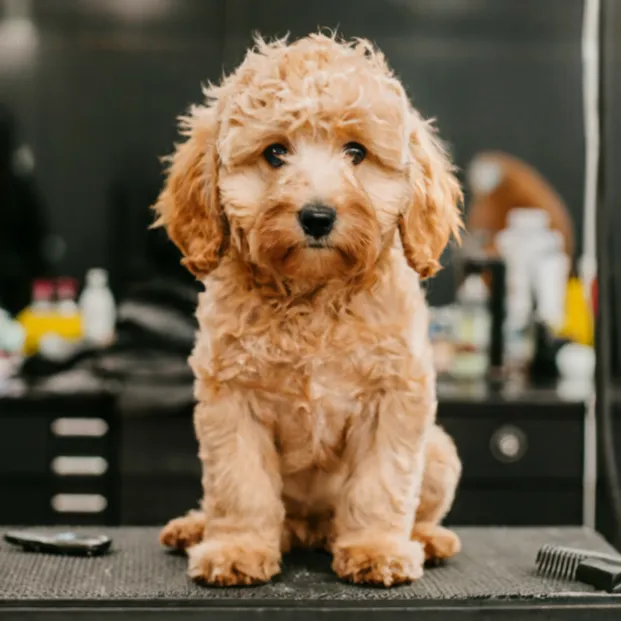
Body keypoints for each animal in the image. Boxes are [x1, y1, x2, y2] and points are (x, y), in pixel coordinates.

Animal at [154, 34, 460, 588]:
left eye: (356, 152)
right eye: (275, 152)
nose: (317, 216)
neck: (313, 296)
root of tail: (312, 528)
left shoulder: (394, 396)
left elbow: (382, 484)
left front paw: (377, 549)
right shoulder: (231, 400)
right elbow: (240, 486)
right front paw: (236, 549)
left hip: (441, 453)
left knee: (421, 505)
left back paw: (427, 539)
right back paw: (197, 527)